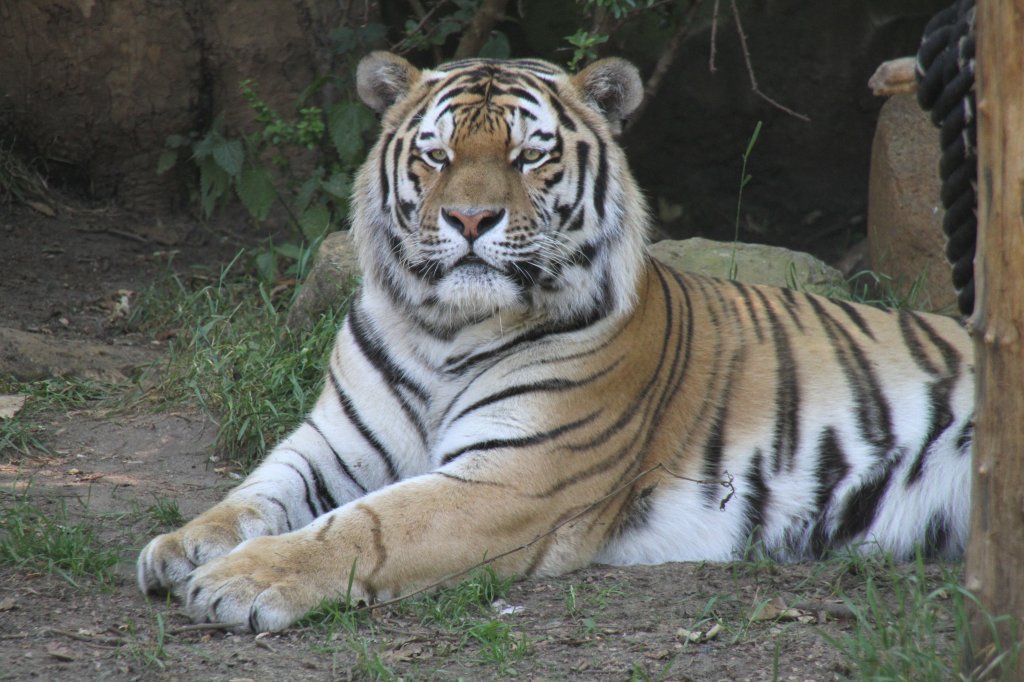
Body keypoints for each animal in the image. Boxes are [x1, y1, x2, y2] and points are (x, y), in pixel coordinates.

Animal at [136, 50, 974, 630]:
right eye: (437, 154)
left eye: (528, 155)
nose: (470, 220)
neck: (442, 329)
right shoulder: (335, 442)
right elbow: (255, 492)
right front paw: (180, 548)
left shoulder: (510, 479)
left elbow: (363, 526)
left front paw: (241, 582)